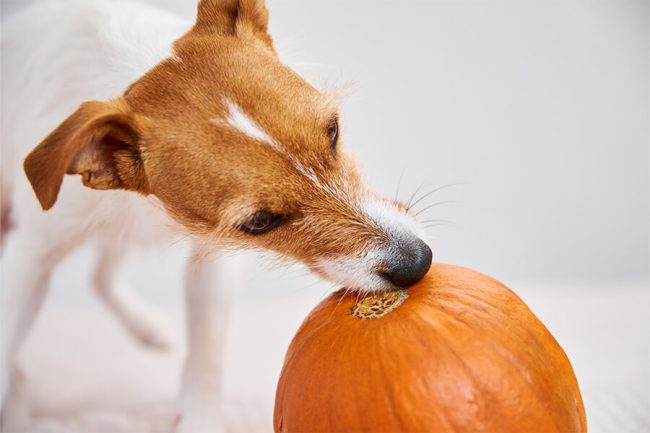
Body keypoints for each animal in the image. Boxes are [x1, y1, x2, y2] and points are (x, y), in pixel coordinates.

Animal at [2, 0, 432, 428]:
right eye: (259, 222)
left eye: (333, 132)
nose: (418, 261)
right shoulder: (30, 258)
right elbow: (8, 338)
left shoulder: (212, 251)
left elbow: (206, 346)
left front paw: (201, 416)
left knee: (102, 274)